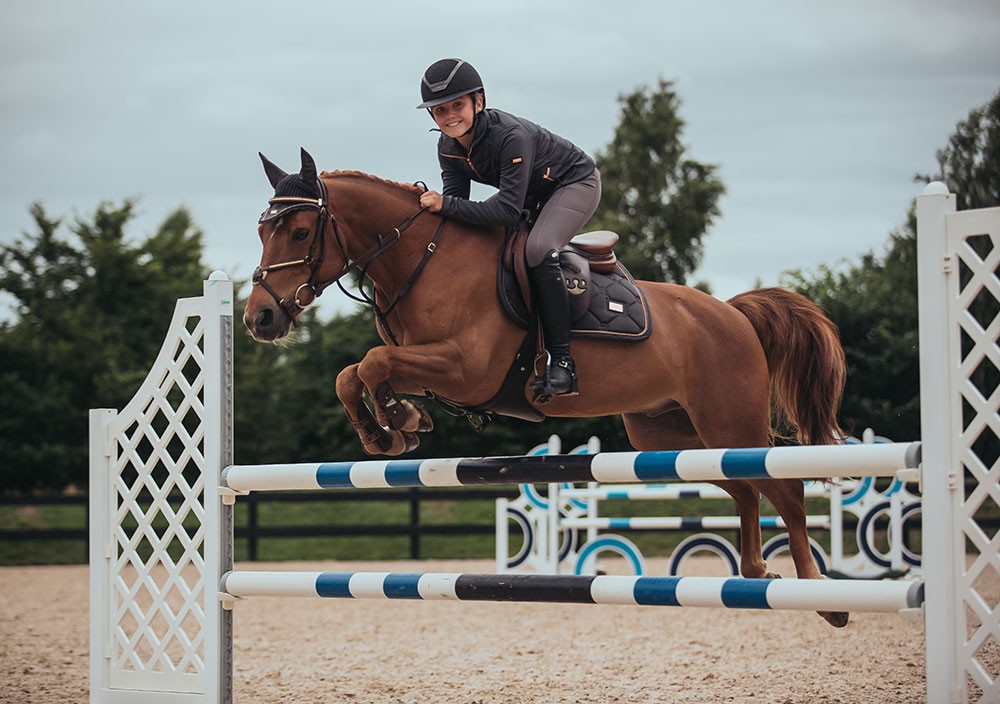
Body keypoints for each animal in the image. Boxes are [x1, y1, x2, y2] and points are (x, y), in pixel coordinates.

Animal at [246, 148, 848, 628]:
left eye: (300, 233)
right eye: (261, 231)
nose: (259, 319)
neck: (424, 260)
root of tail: (734, 313)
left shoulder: (467, 368)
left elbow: (372, 363)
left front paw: (395, 423)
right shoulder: (430, 364)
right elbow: (354, 374)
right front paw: (394, 428)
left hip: (730, 421)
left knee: (786, 490)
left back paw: (822, 596)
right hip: (671, 437)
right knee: (745, 489)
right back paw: (756, 573)